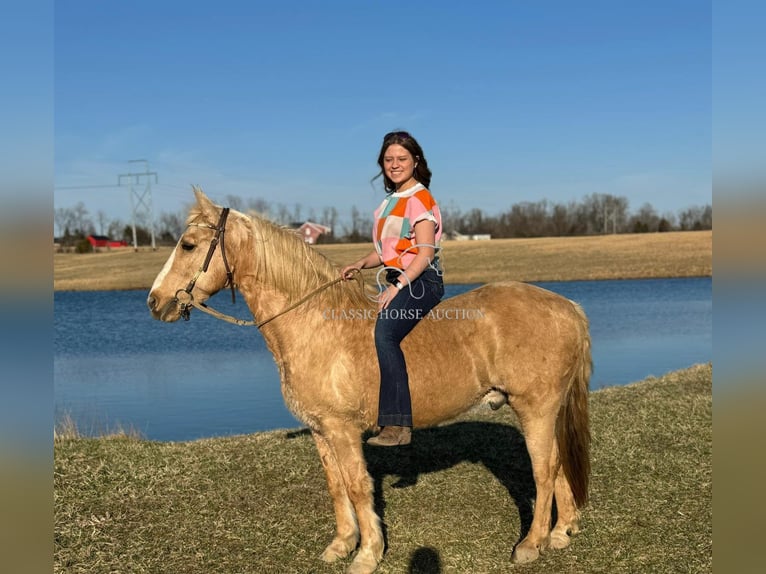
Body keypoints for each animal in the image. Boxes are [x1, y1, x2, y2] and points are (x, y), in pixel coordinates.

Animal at [148, 189, 592, 574]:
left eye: (188, 245)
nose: (154, 301)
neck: (317, 325)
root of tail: (568, 306)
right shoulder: (321, 430)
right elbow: (337, 486)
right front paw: (342, 544)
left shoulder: (343, 430)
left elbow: (359, 487)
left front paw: (366, 554)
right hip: (547, 410)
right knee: (557, 465)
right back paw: (560, 532)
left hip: (535, 408)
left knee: (543, 469)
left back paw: (531, 544)